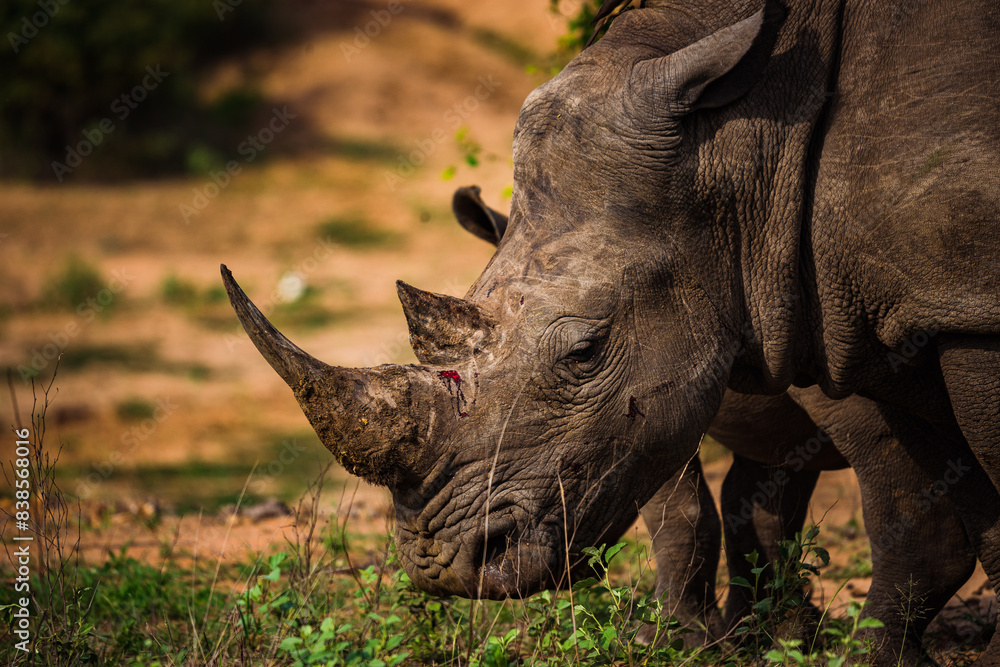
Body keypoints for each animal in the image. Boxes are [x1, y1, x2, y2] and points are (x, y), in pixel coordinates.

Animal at [224, 0, 1000, 662]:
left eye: (585, 350)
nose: (440, 569)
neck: (747, 141)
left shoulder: (944, 315)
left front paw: (687, 645)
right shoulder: (893, 314)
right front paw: (703, 646)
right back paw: (771, 637)